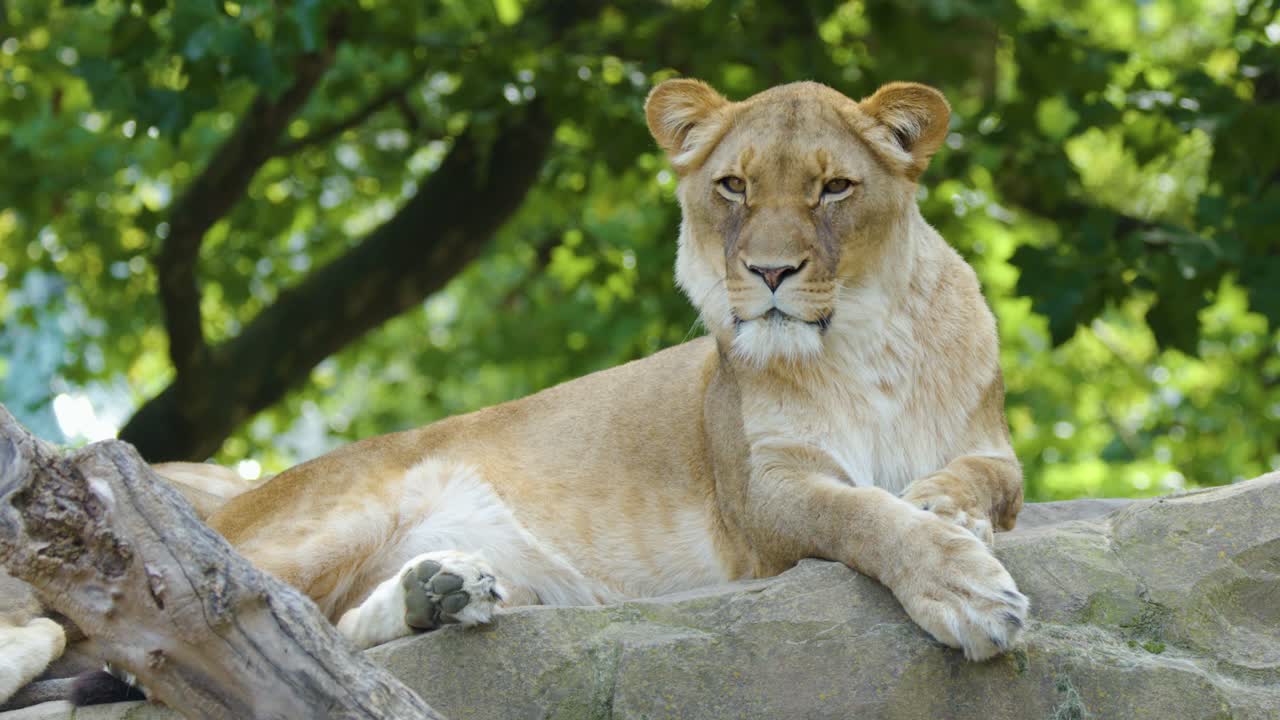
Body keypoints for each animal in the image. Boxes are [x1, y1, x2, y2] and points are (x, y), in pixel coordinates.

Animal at [4, 77, 1029, 706]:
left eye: (834, 189)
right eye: (733, 186)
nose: (769, 274)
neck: (863, 348)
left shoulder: (993, 445)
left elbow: (982, 482)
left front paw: (947, 509)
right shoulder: (763, 495)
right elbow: (859, 512)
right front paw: (966, 587)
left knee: (310, 631)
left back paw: (441, 590)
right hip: (315, 522)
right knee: (153, 618)